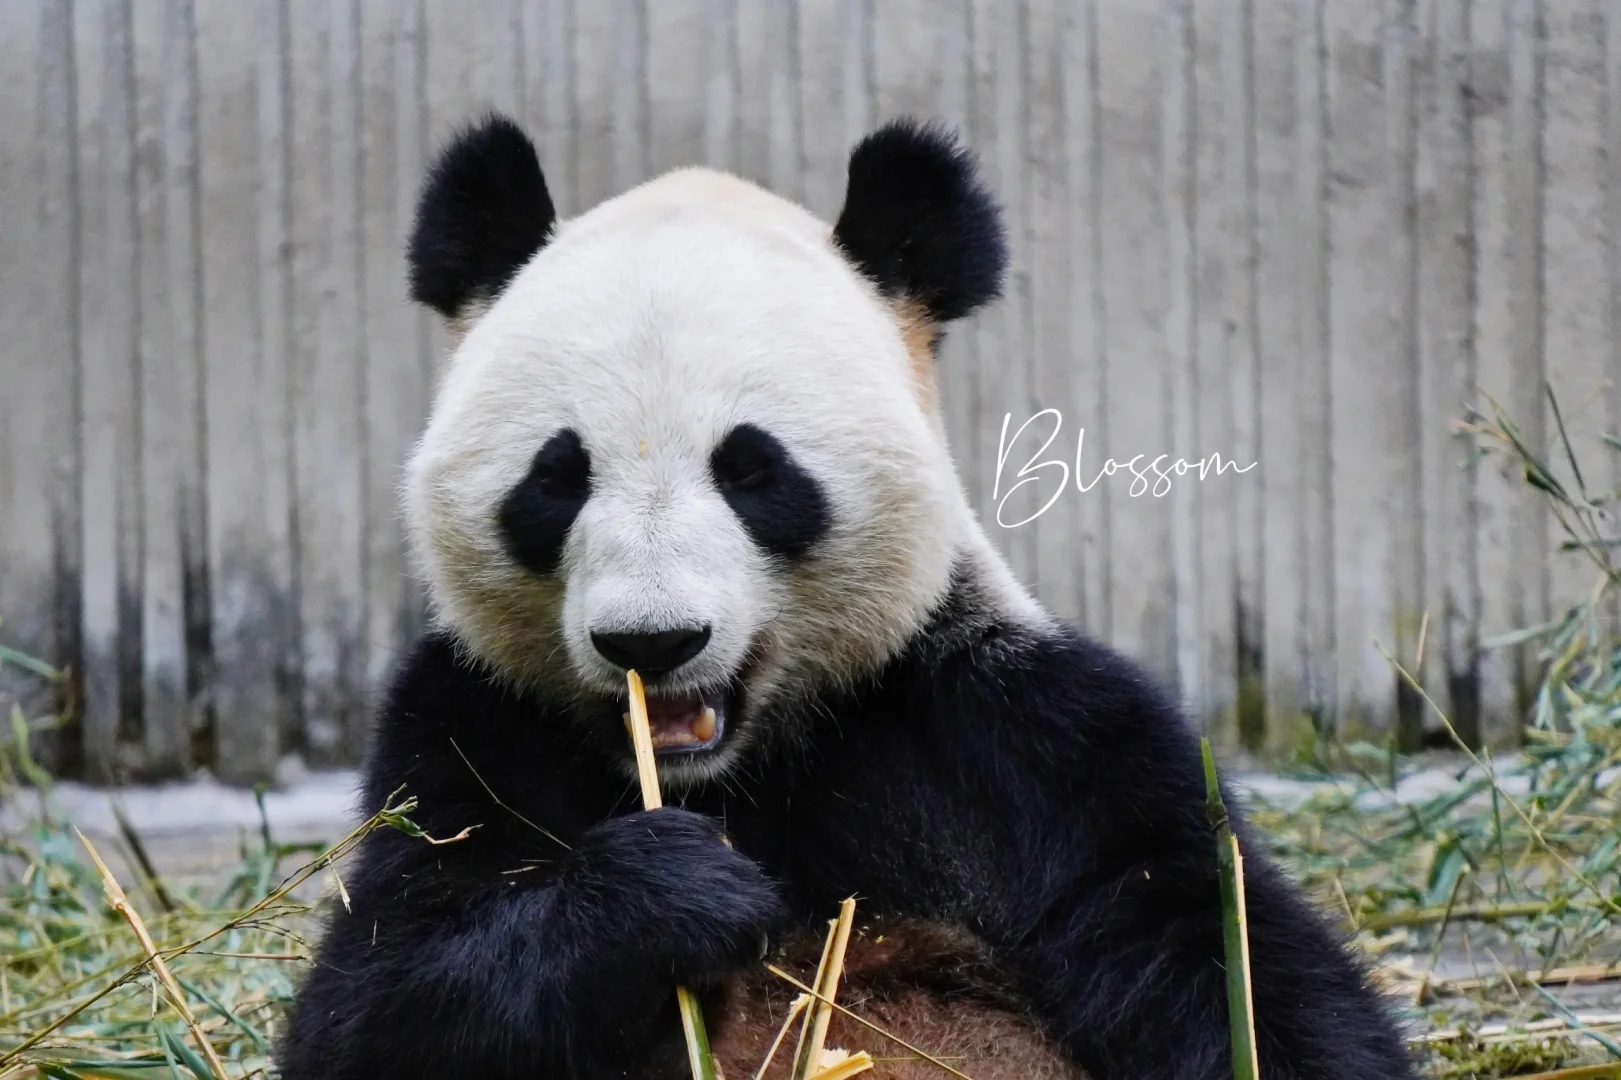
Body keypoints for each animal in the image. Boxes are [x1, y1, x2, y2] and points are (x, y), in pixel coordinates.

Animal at [278, 113, 1415, 1080]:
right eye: (556, 478)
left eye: (751, 470)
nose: (652, 641)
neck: (746, 769)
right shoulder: (470, 724)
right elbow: (374, 1001)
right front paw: (668, 893)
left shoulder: (1013, 737)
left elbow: (1224, 954)